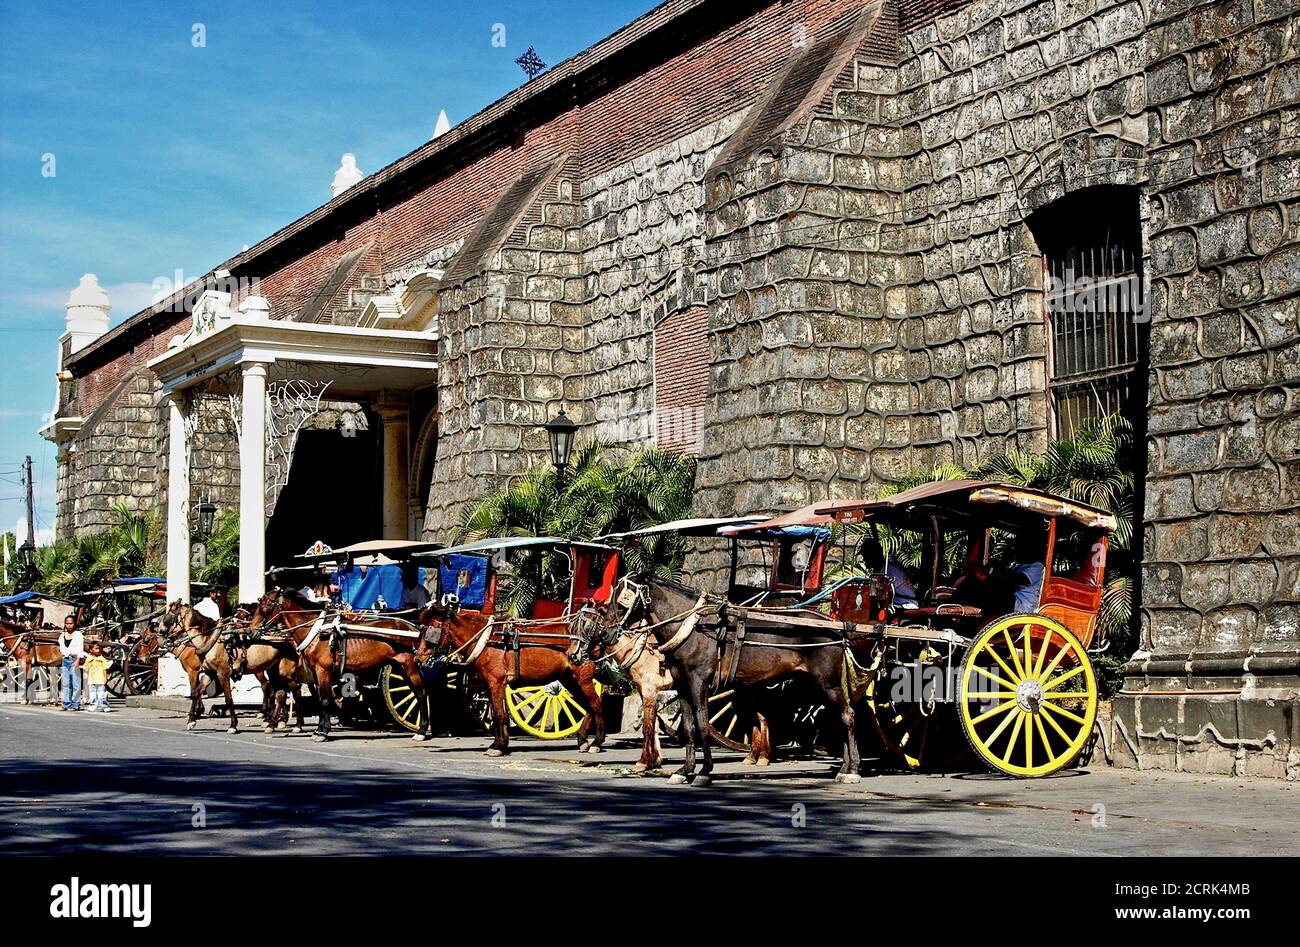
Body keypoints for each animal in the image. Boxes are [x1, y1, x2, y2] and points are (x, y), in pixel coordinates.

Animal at [250, 593, 434, 738]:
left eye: (265, 605)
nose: (251, 631)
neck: (317, 631)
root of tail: (413, 628)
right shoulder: (316, 674)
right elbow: (320, 698)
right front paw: (320, 729)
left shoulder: (323, 670)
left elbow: (324, 700)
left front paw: (323, 732)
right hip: (400, 667)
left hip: (409, 664)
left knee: (421, 693)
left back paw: (422, 730)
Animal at [418, 603, 605, 759]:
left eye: (431, 632)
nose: (419, 660)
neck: (487, 640)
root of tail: (594, 635)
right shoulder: (489, 684)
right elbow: (497, 714)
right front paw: (500, 743)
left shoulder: (496, 682)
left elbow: (499, 714)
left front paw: (498, 747)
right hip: (569, 679)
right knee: (588, 706)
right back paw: (583, 740)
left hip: (583, 677)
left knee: (596, 704)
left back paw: (596, 742)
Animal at [590, 572, 863, 785]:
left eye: (624, 598)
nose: (605, 633)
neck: (693, 628)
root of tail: (835, 624)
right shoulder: (682, 686)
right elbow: (689, 728)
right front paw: (685, 770)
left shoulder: (699, 682)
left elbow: (702, 725)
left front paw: (704, 771)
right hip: (814, 685)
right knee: (839, 716)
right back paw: (844, 766)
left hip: (827, 682)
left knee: (848, 716)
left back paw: (851, 770)